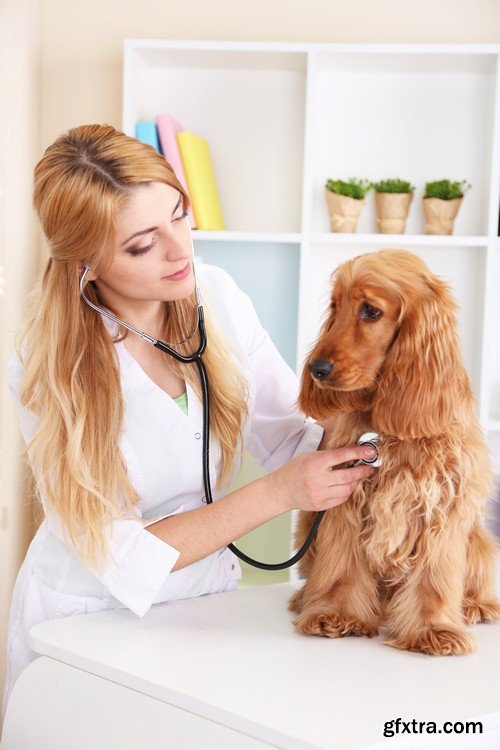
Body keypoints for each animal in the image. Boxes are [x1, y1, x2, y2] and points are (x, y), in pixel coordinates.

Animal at [290, 250, 500, 656]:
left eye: (371, 311)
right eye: (335, 306)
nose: (316, 368)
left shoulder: (441, 505)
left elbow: (433, 579)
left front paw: (433, 629)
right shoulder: (344, 497)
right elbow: (342, 567)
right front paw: (337, 614)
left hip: (480, 541)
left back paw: (475, 606)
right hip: (309, 522)